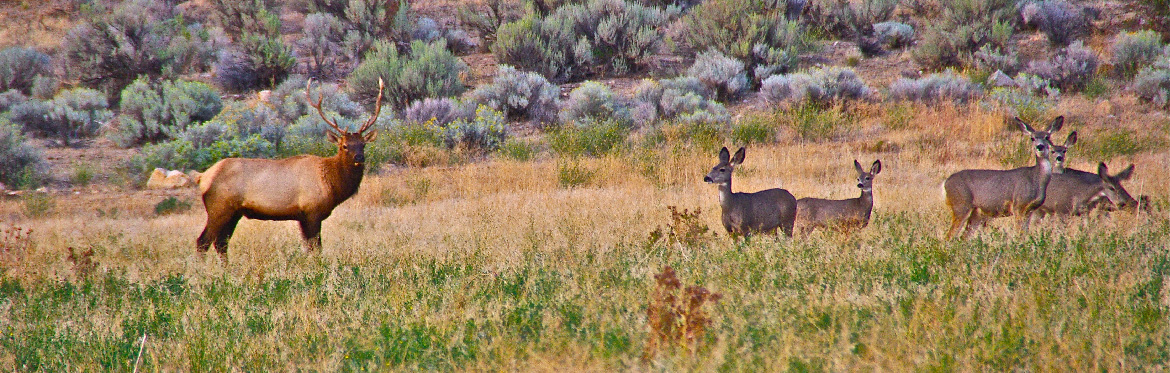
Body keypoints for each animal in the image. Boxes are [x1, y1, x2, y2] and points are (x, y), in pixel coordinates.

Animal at [196, 78, 386, 259]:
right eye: (345, 146)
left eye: (363, 144)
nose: (359, 158)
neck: (332, 183)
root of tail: (203, 177)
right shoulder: (312, 212)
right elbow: (316, 248)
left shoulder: (302, 217)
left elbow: (309, 248)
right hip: (218, 208)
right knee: (203, 242)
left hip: (234, 212)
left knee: (221, 243)